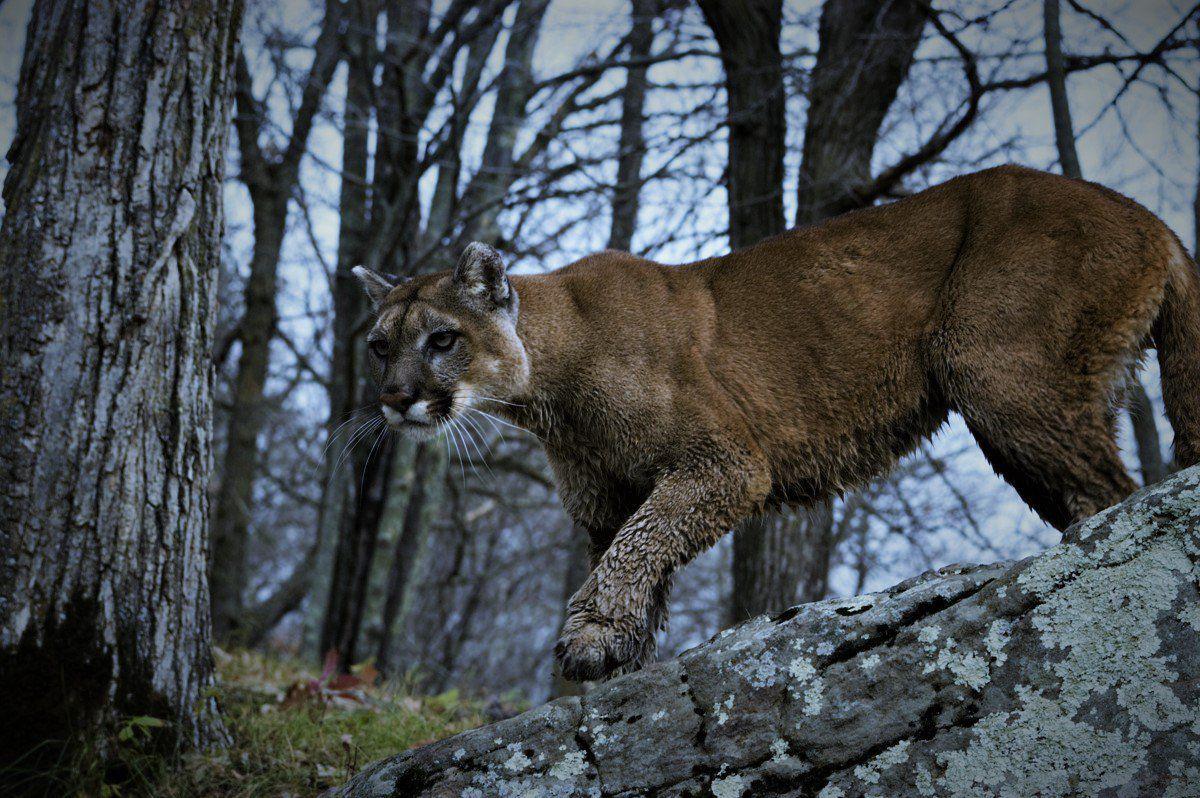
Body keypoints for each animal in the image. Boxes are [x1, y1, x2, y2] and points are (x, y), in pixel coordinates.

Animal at [350, 166, 1195, 676]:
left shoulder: (725, 461)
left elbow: (641, 541)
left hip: (997, 369)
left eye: (442, 340)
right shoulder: (603, 499)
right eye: (380, 345)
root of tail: (1147, 216)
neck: (551, 388)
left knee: (1111, 493)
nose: (394, 398)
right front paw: (623, 652)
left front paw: (590, 636)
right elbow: (633, 554)